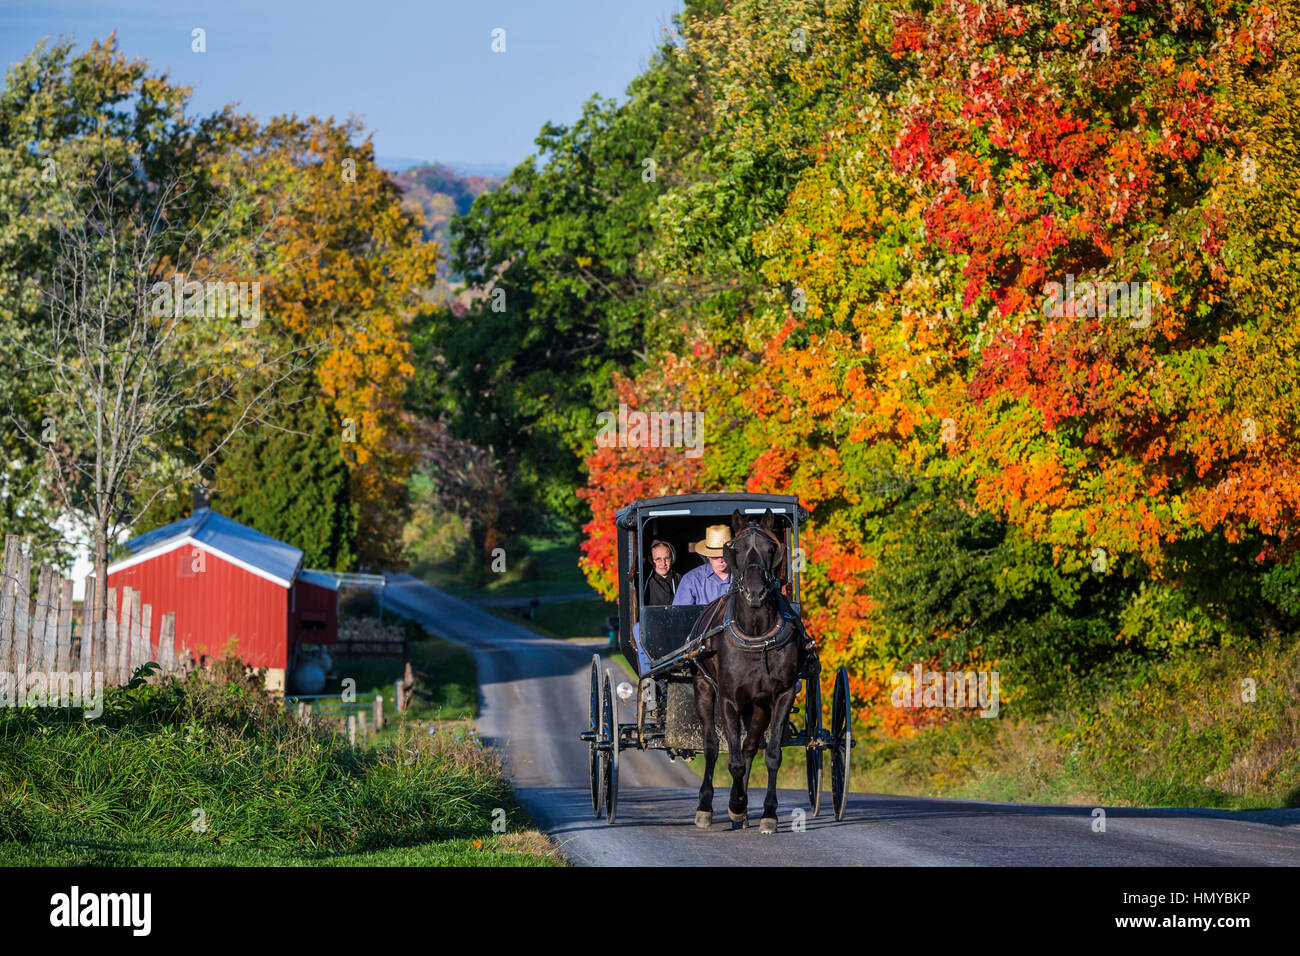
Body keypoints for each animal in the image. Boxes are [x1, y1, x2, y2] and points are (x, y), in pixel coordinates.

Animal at [691, 507, 810, 834]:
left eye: (772, 548)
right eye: (738, 548)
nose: (756, 593)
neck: (756, 633)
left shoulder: (781, 696)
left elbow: (771, 755)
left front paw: (766, 813)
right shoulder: (729, 698)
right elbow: (731, 760)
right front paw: (734, 805)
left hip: (757, 707)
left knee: (748, 747)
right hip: (704, 688)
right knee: (711, 747)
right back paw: (706, 807)